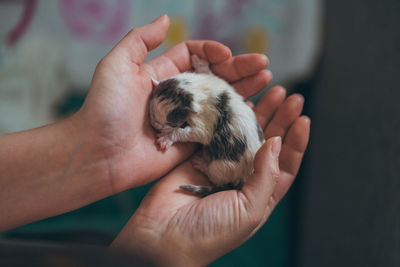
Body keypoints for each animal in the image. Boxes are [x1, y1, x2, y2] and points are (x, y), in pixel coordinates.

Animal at [148, 55, 264, 197]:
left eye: (169, 122)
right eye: (151, 111)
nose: (155, 124)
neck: (197, 89)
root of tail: (245, 177)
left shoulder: (205, 122)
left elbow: (193, 133)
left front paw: (167, 138)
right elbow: (207, 72)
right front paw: (199, 62)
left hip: (222, 165)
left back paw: (202, 164)